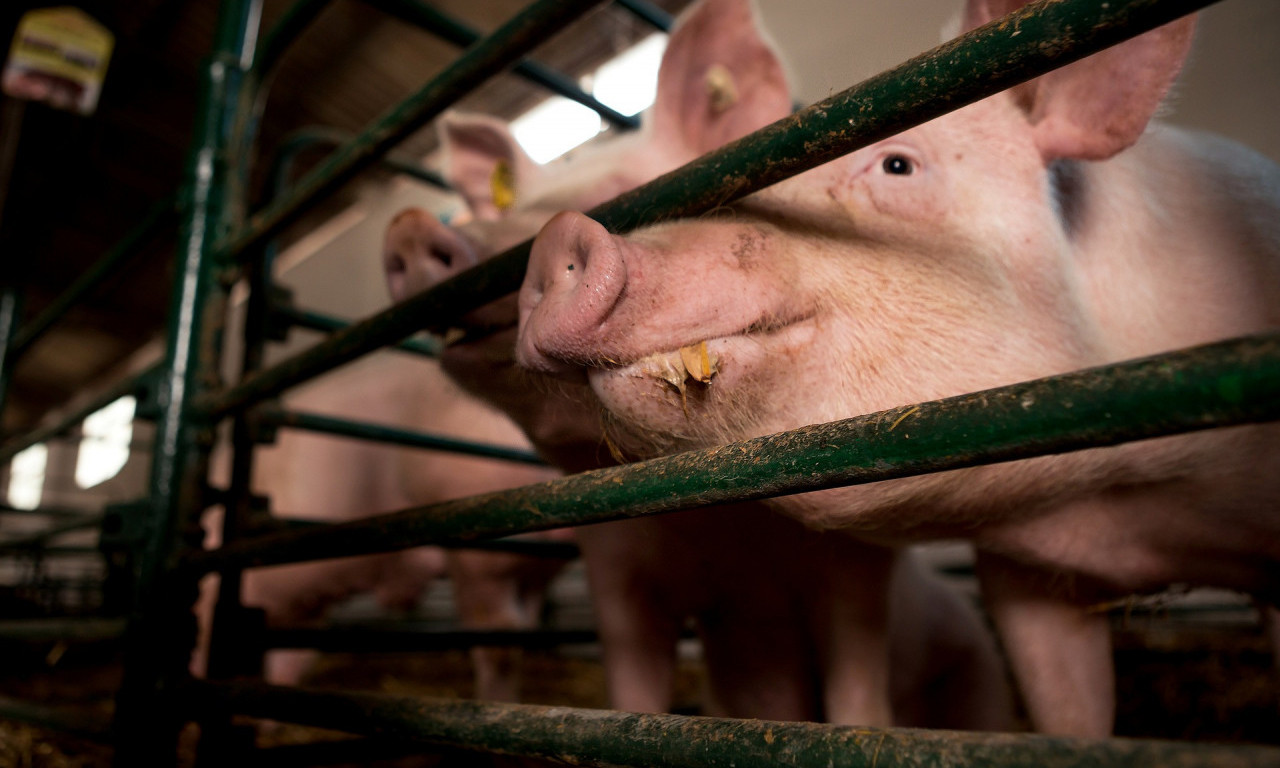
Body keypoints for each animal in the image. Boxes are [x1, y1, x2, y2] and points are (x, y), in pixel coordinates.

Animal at [384, 0, 1013, 727]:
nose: (409, 228)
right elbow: (632, 692)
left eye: (638, 195)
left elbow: (857, 696)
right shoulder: (616, 569)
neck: (721, 531)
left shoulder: (854, 566)